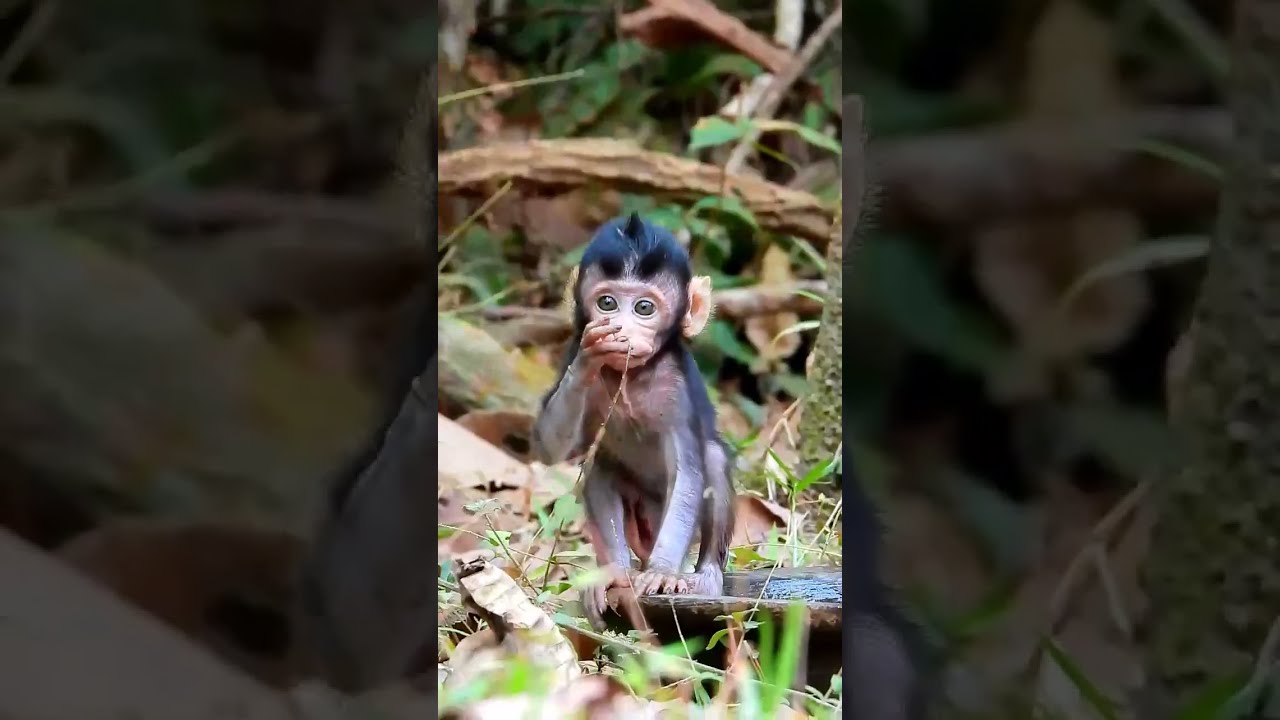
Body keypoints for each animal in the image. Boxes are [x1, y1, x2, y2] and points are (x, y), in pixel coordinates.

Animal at [531, 212, 735, 628]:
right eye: (607, 303)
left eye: (644, 308)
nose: (621, 329)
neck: (634, 376)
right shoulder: (569, 352)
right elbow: (549, 446)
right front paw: (591, 358)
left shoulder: (676, 387)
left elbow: (689, 471)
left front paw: (662, 572)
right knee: (600, 466)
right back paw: (615, 573)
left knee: (713, 456)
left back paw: (704, 574)